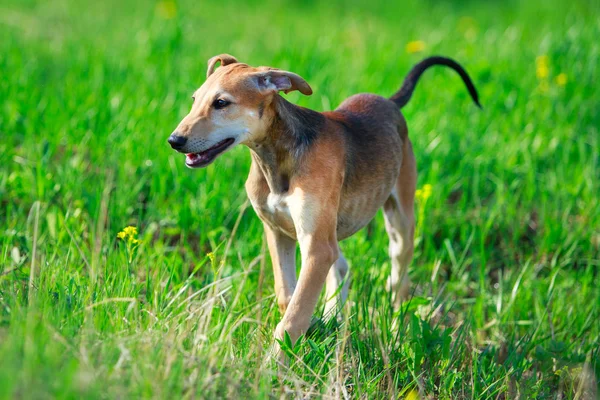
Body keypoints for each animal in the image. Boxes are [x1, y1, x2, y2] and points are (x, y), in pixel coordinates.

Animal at [168, 53, 478, 360]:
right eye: (194, 99)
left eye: (221, 103)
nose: (174, 140)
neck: (277, 158)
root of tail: (390, 102)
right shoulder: (278, 233)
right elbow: (288, 298)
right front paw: (310, 330)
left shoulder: (316, 246)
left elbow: (293, 317)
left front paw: (273, 364)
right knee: (341, 266)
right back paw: (333, 319)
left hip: (399, 222)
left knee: (398, 283)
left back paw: (395, 328)